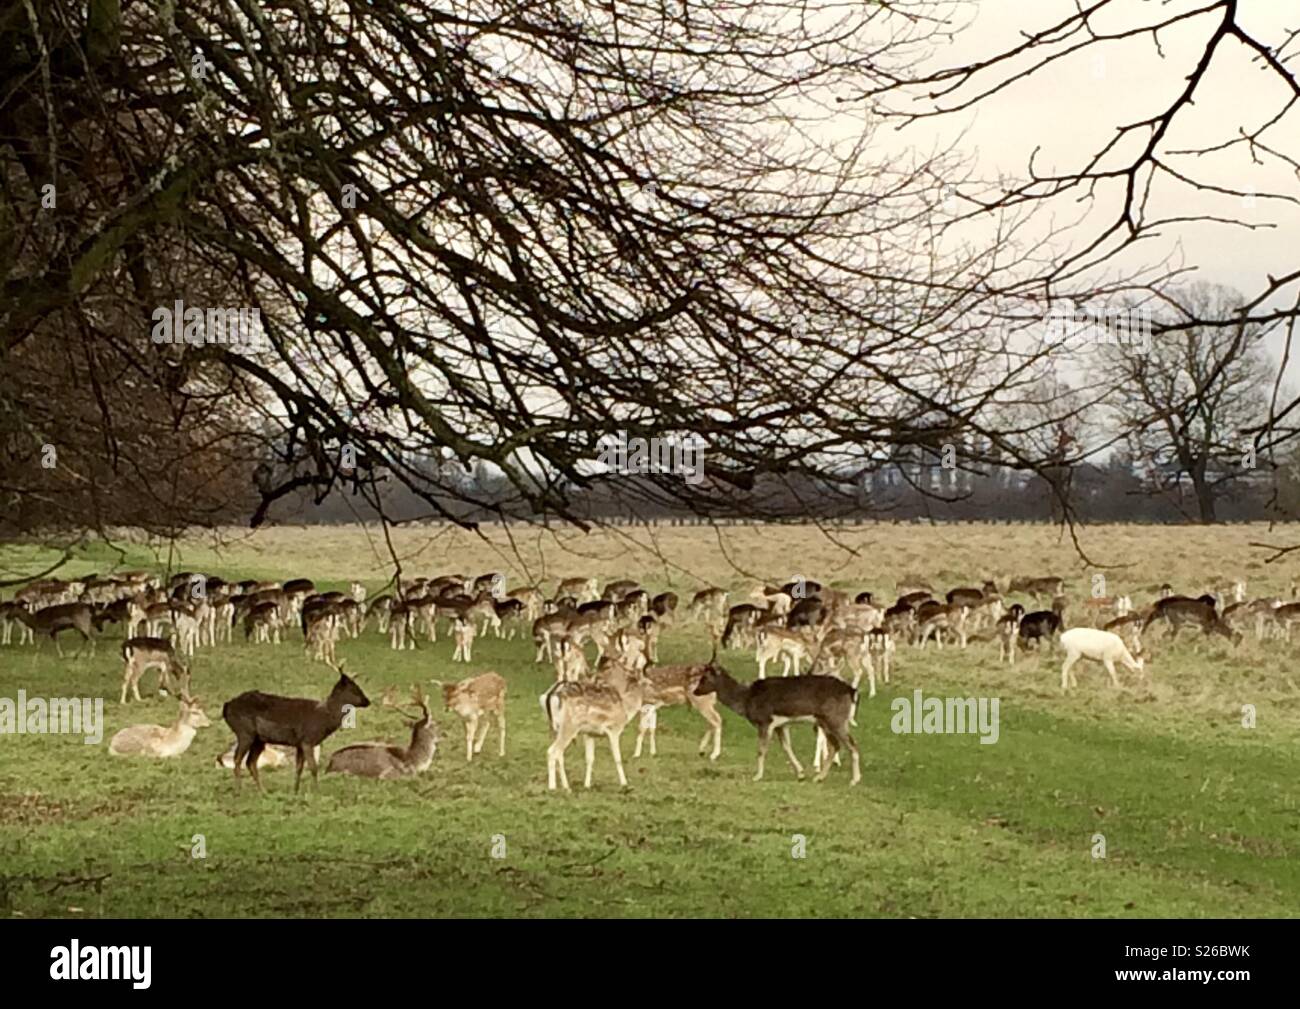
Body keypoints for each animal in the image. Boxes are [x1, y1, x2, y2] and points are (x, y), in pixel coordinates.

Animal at [221, 662, 371, 792]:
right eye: (354, 688)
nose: (367, 701)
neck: (323, 719)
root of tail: (226, 707)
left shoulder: (299, 743)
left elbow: (299, 768)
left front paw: (296, 790)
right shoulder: (307, 740)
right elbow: (313, 767)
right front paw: (316, 791)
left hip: (259, 739)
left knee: (250, 762)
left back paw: (262, 791)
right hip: (244, 731)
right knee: (237, 759)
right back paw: (239, 790)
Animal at [693, 659, 861, 785]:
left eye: (704, 678)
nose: (695, 691)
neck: (746, 699)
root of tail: (852, 691)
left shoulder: (765, 721)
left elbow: (761, 750)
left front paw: (757, 776)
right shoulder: (781, 725)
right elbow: (787, 747)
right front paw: (801, 774)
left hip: (835, 719)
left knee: (852, 744)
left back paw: (854, 780)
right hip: (824, 722)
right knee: (835, 745)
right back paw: (818, 778)